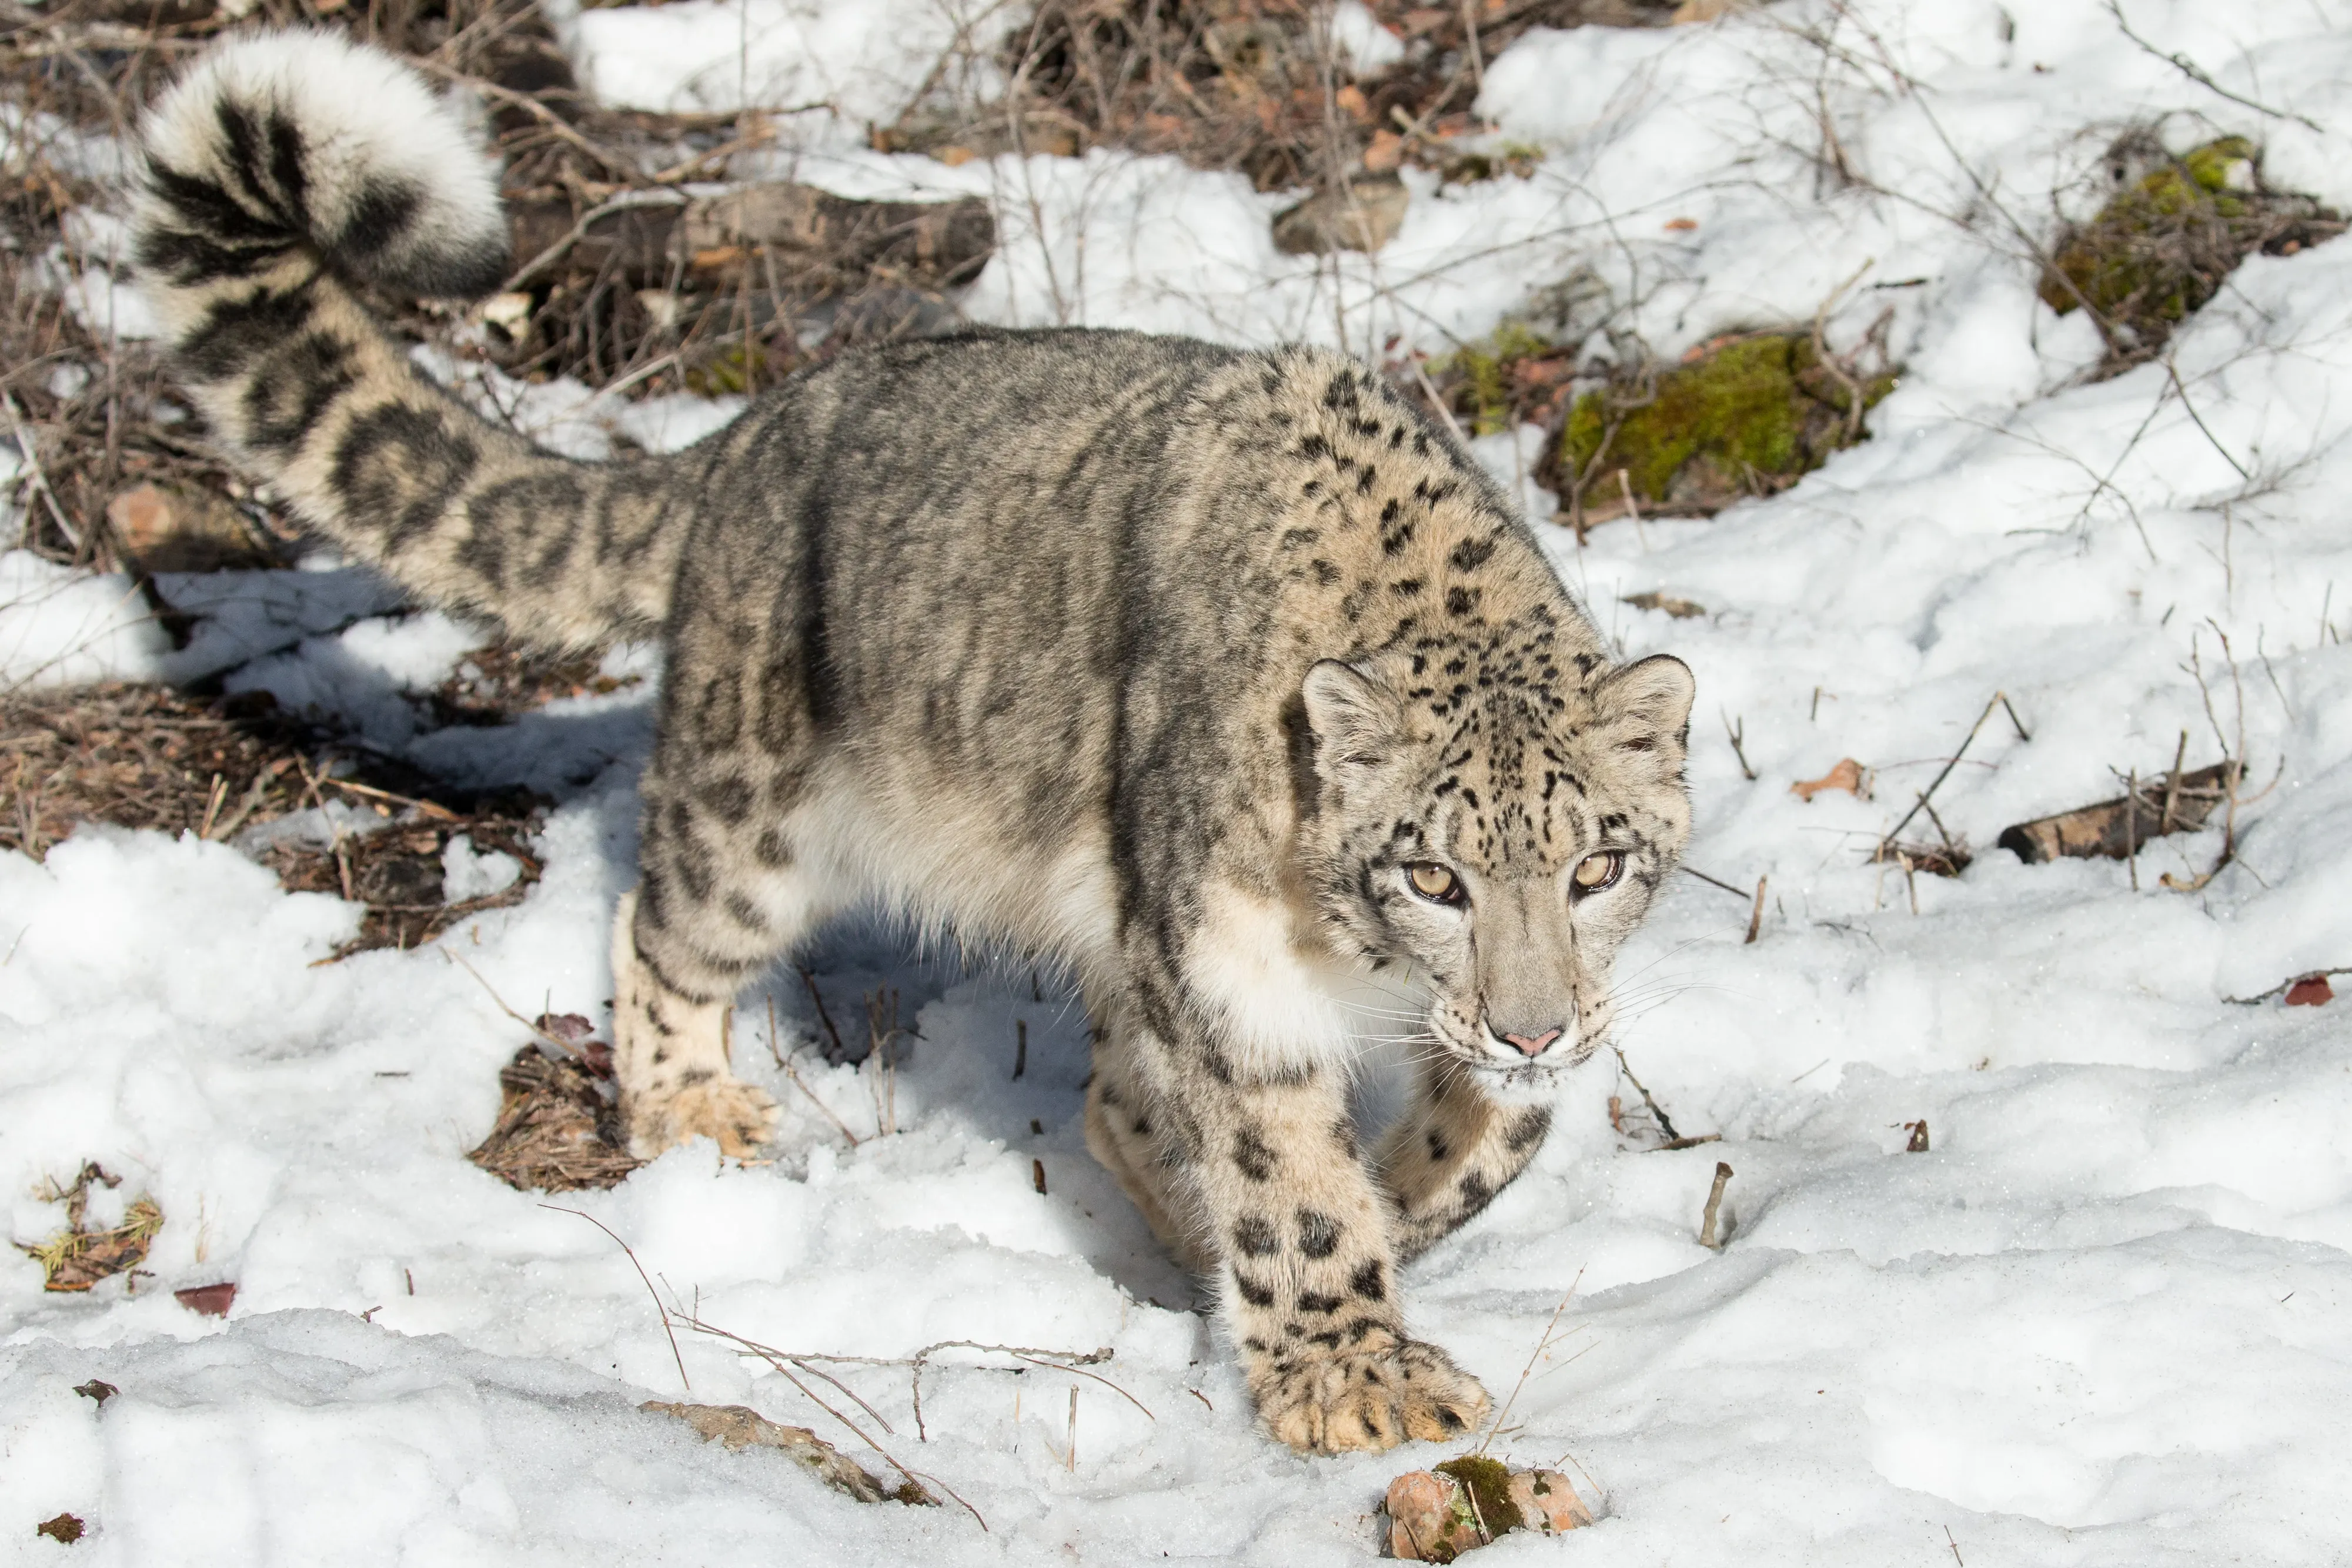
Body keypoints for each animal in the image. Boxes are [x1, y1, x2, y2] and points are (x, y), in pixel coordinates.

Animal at [130, 29, 1696, 1454]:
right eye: (1431, 875)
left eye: (1597, 866)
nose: (1531, 1022)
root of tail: (747, 434)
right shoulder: (1230, 967)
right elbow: (1287, 1176)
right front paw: (1354, 1375)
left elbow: (1496, 1136)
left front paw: (1409, 1197)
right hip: (754, 809)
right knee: (664, 930)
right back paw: (696, 1107)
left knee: (1114, 1096)